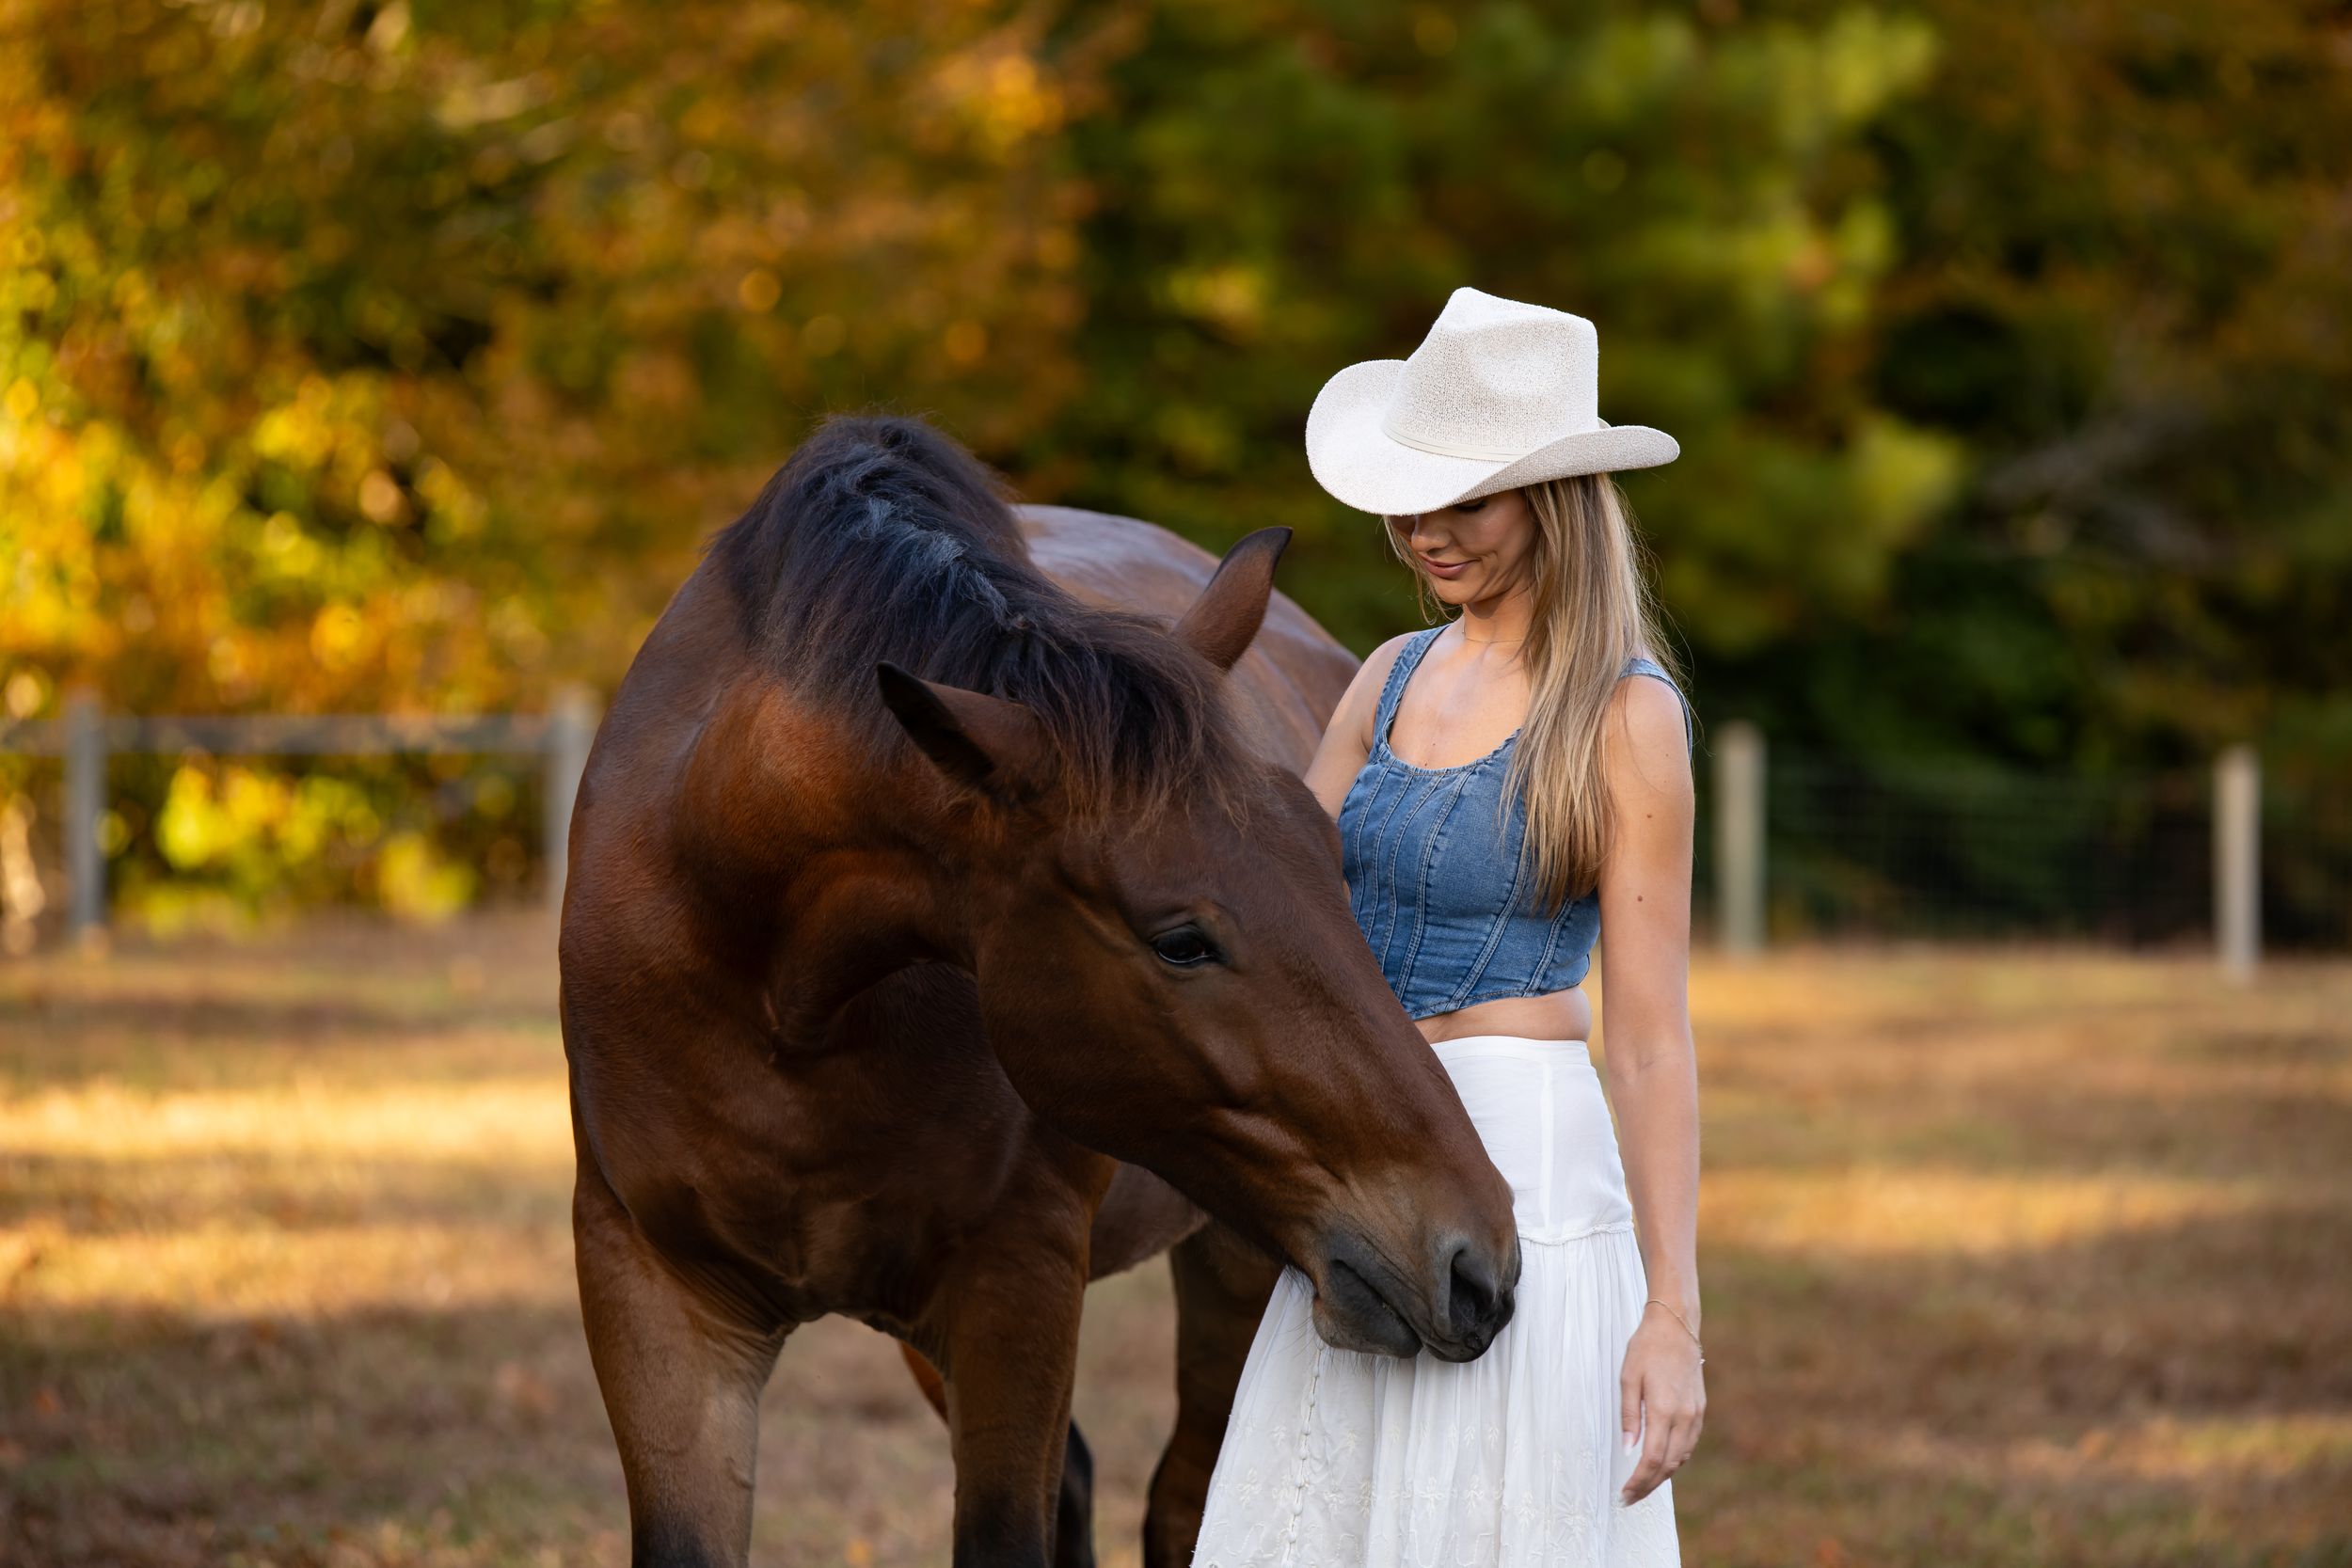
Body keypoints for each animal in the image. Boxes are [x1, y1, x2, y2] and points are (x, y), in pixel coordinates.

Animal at [558, 413, 1521, 1568]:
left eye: (1335, 864)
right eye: (1181, 940)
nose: (1478, 1260)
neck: (774, 996)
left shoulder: (1017, 1284)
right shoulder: (654, 1296)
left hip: (1238, 1261)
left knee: (1178, 1500)